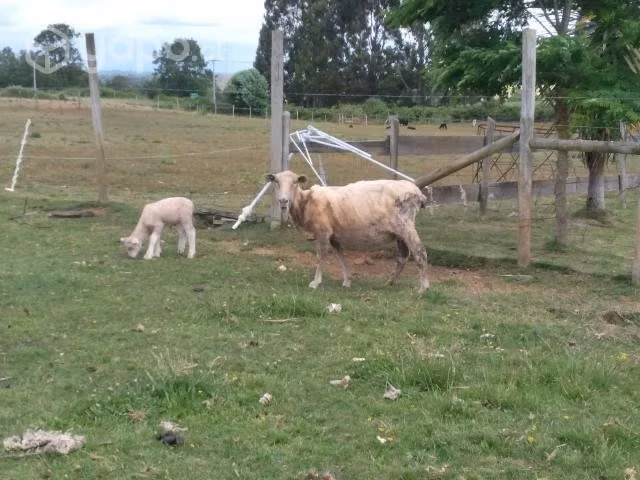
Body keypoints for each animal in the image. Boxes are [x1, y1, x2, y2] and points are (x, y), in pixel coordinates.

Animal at [267, 170, 430, 292]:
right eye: (276, 182)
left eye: (295, 182)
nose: (283, 201)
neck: (306, 202)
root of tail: (418, 193)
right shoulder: (334, 236)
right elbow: (341, 257)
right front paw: (347, 281)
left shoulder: (323, 232)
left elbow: (320, 257)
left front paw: (316, 282)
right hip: (399, 232)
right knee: (403, 257)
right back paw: (389, 282)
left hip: (406, 225)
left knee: (420, 253)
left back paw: (423, 288)